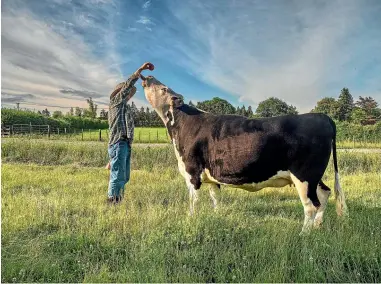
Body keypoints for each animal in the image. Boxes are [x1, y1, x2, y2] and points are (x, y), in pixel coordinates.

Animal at [139, 75, 348, 233]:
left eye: (163, 88)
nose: (148, 77)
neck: (184, 124)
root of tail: (322, 116)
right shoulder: (212, 176)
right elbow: (216, 198)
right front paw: (217, 218)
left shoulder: (192, 173)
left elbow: (193, 202)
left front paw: (190, 222)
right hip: (313, 175)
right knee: (324, 193)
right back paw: (318, 226)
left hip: (304, 174)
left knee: (311, 205)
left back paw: (304, 234)